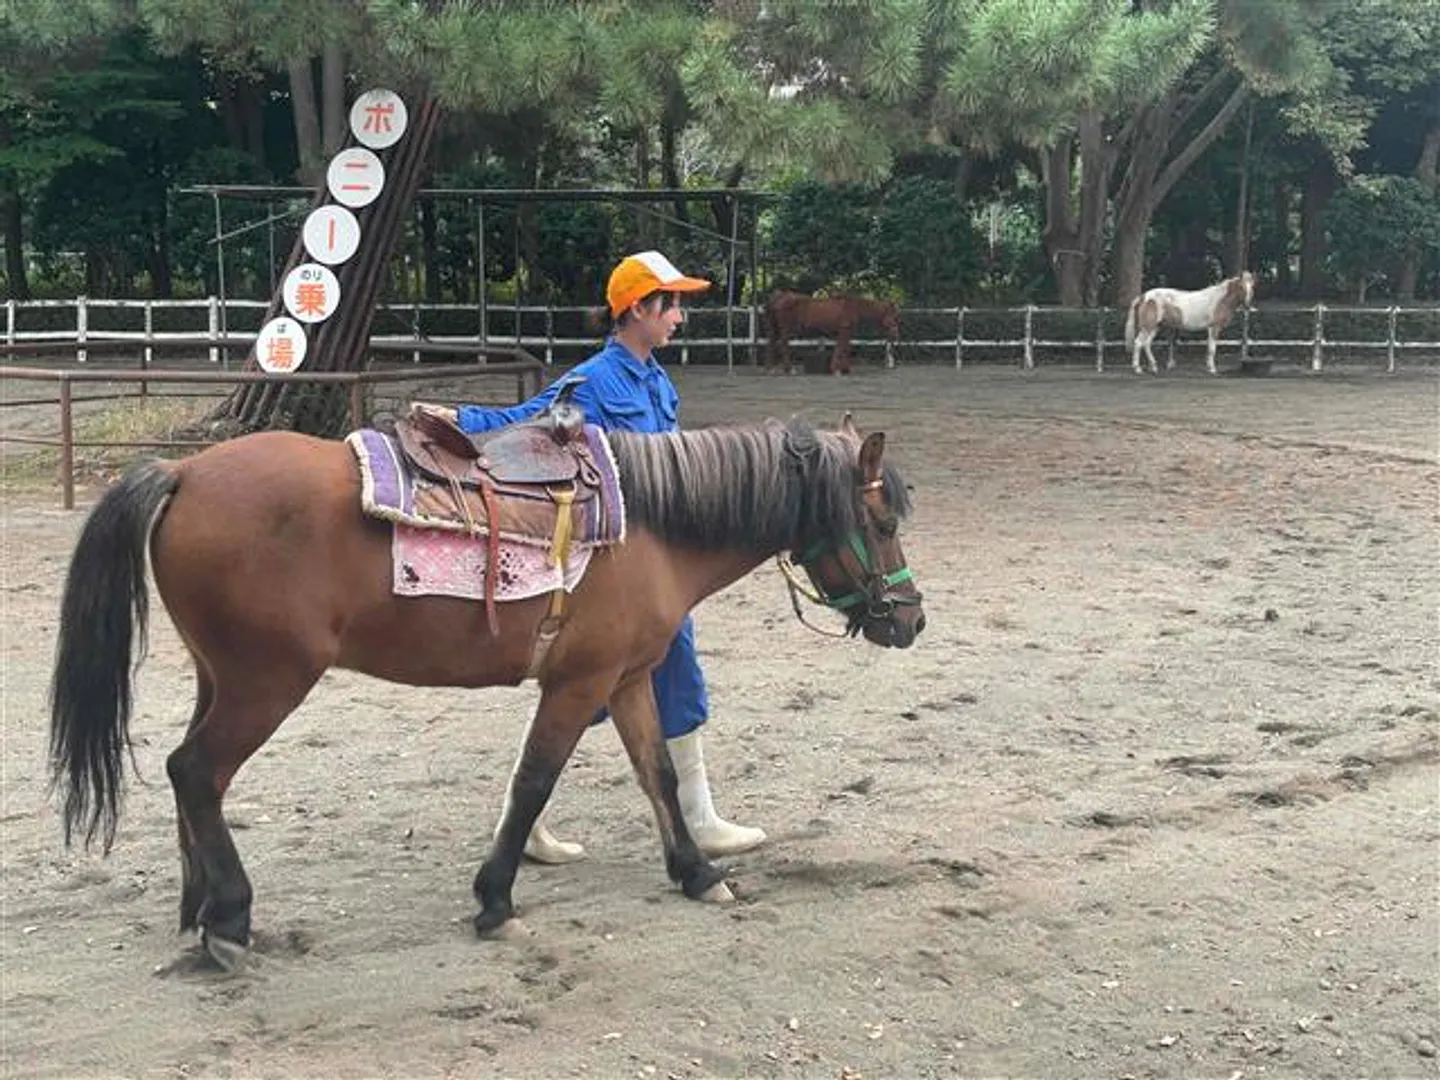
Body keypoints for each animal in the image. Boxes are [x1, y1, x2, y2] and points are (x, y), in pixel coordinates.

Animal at [48, 412, 925, 971]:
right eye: (883, 524)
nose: (911, 619)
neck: (651, 527)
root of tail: (184, 470)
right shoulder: (577, 684)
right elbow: (535, 780)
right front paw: (496, 900)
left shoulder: (627, 679)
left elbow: (658, 774)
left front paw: (696, 873)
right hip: (267, 683)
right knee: (197, 772)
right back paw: (229, 918)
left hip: (220, 678)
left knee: (188, 776)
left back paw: (198, 911)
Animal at [764, 290, 901, 375]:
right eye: (894, 317)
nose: (896, 335)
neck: (854, 306)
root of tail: (780, 296)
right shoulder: (844, 331)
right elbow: (841, 348)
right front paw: (836, 370)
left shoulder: (846, 333)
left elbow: (845, 348)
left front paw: (845, 369)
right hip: (786, 329)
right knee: (783, 345)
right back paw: (790, 369)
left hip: (774, 328)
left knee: (771, 343)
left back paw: (771, 368)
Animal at [1124, 271, 1255, 375]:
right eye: (1241, 287)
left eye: (1252, 287)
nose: (1247, 305)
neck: (1220, 300)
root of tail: (1144, 297)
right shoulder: (1213, 328)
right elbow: (1212, 348)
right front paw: (1212, 369)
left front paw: (1209, 367)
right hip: (1148, 327)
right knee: (1138, 343)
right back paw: (1137, 369)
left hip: (1155, 327)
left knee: (1146, 344)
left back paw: (1154, 367)